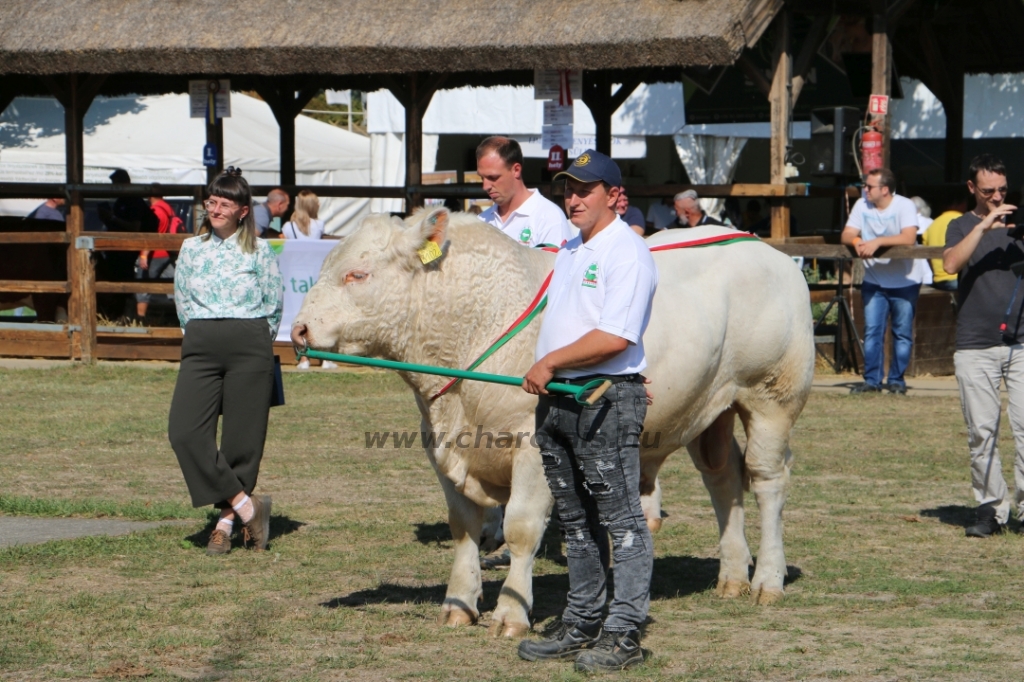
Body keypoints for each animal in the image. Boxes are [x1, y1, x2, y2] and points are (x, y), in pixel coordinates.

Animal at [294, 206, 815, 638]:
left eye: (357, 274)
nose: (298, 330)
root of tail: (762, 248)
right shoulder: (440, 446)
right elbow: (463, 525)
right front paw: (459, 603)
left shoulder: (532, 447)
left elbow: (522, 527)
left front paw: (510, 614)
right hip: (711, 409)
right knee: (723, 479)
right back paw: (732, 575)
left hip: (771, 396)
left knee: (766, 480)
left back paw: (767, 579)